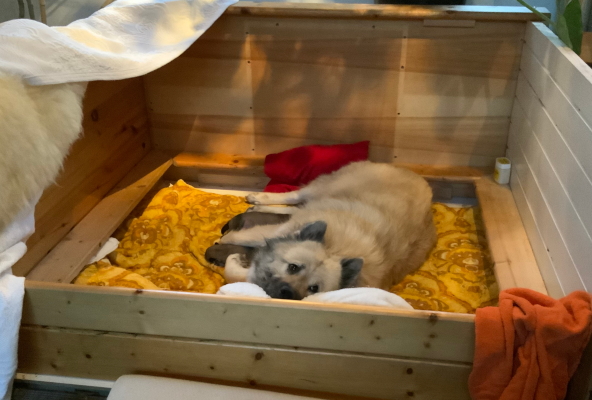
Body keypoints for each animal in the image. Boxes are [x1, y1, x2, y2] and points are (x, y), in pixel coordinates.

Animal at [206, 161, 437, 300]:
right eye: (293, 267)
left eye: (313, 288)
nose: (287, 292)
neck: (335, 249)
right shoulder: (278, 230)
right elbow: (242, 238)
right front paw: (227, 239)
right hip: (322, 189)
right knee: (294, 196)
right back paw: (259, 199)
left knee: (296, 207)